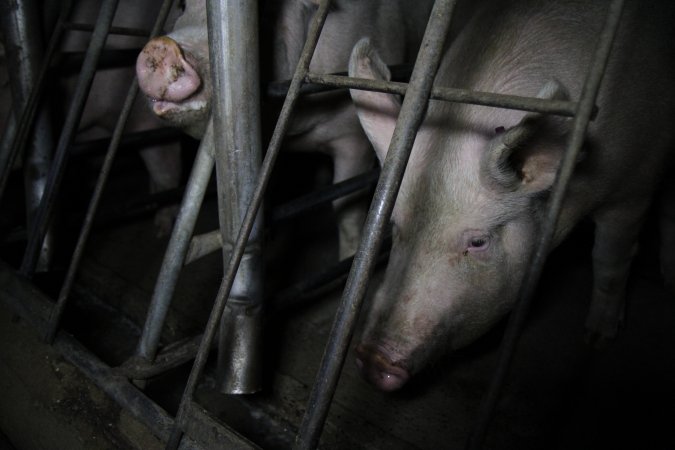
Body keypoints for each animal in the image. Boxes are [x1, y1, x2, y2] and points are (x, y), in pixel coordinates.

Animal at [135, 0, 436, 260]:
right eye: (182, 5)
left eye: (264, 12)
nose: (160, 47)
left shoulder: (354, 138)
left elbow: (346, 205)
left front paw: (347, 255)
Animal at [348, 0, 675, 390]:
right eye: (395, 227)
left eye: (478, 242)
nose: (372, 360)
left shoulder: (635, 184)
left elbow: (610, 260)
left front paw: (597, 340)